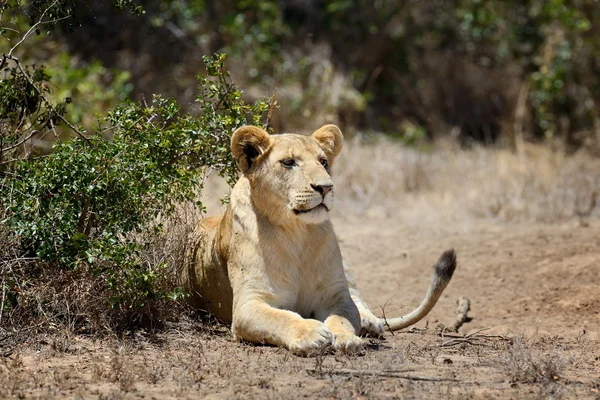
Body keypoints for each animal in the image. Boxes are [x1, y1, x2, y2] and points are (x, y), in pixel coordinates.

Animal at [183, 125, 454, 356]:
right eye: (289, 162)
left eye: (323, 162)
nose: (325, 187)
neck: (297, 233)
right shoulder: (248, 304)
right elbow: (281, 317)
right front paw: (311, 333)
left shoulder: (335, 295)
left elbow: (343, 316)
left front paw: (347, 338)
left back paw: (370, 322)